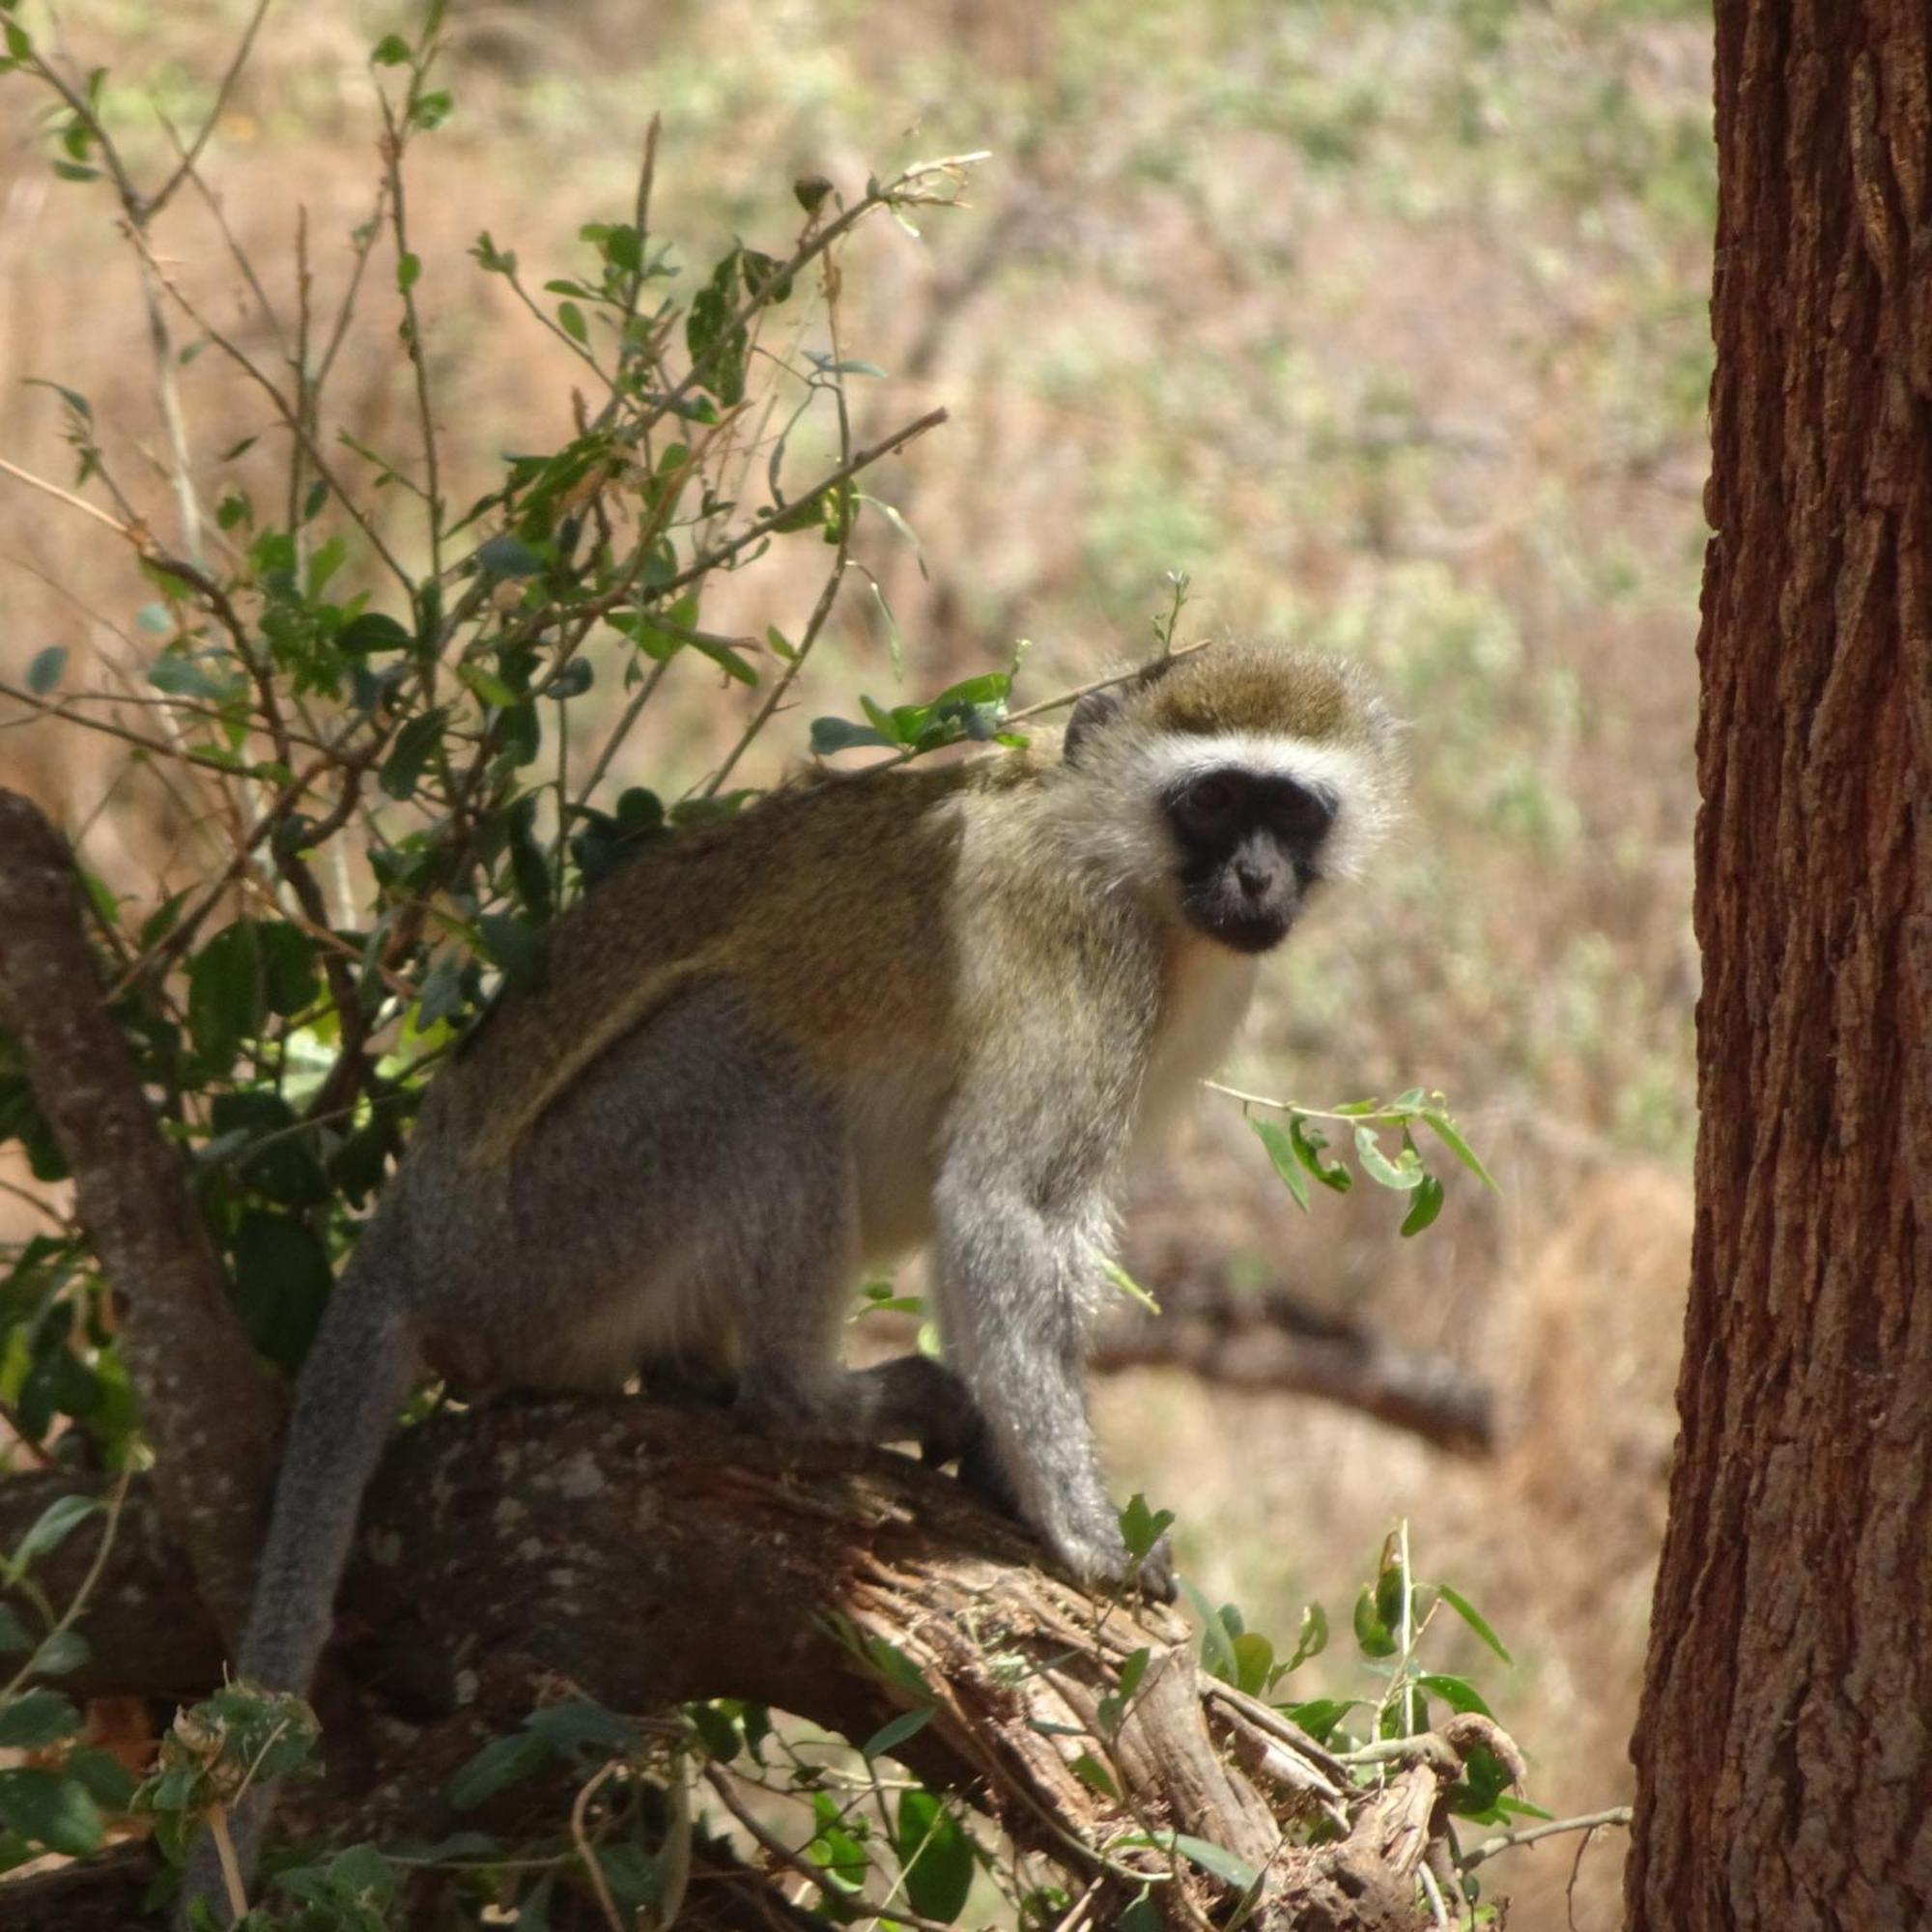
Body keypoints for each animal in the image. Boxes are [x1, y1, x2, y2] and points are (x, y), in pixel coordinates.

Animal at [215, 638, 1406, 1886]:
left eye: (1291, 808)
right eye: (1213, 799)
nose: (1258, 880)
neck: (1125, 857)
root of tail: (411, 1233)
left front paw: (1006, 1471)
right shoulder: (1082, 947)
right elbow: (1005, 1208)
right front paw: (1084, 1532)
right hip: (546, 1242)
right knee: (746, 1051)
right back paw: (809, 1400)